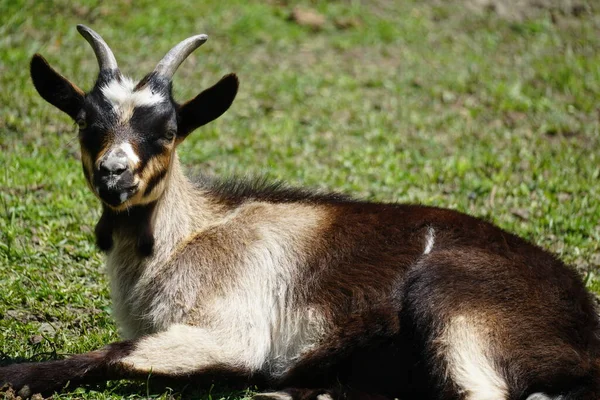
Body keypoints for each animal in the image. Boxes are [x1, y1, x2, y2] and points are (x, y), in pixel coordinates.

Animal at [1, 25, 600, 400]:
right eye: (86, 123)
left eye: (167, 131)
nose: (114, 174)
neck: (190, 235)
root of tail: (585, 331)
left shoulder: (231, 330)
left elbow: (112, 352)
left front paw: (17, 374)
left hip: (455, 303)